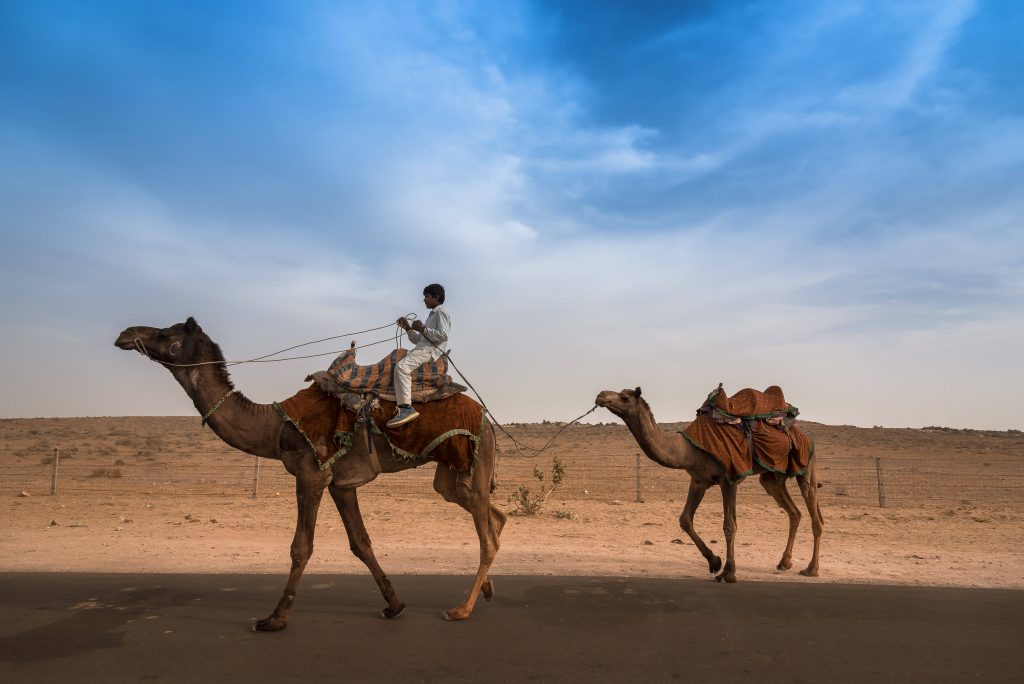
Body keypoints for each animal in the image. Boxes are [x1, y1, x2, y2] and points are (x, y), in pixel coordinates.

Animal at [116, 317, 503, 626]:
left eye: (166, 333)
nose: (125, 334)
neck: (276, 427)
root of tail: (488, 417)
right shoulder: (340, 484)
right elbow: (360, 542)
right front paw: (394, 604)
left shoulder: (311, 473)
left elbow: (301, 546)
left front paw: (275, 618)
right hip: (451, 472)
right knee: (490, 516)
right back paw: (486, 588)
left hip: (475, 456)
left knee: (485, 535)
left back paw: (461, 609)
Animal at [598, 387, 819, 581]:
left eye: (625, 397)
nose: (601, 395)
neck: (688, 450)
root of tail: (803, 435)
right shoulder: (699, 481)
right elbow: (685, 519)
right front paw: (715, 562)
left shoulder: (729, 479)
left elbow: (729, 525)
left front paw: (729, 573)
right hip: (772, 478)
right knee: (794, 512)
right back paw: (785, 562)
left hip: (805, 464)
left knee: (814, 515)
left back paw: (811, 569)